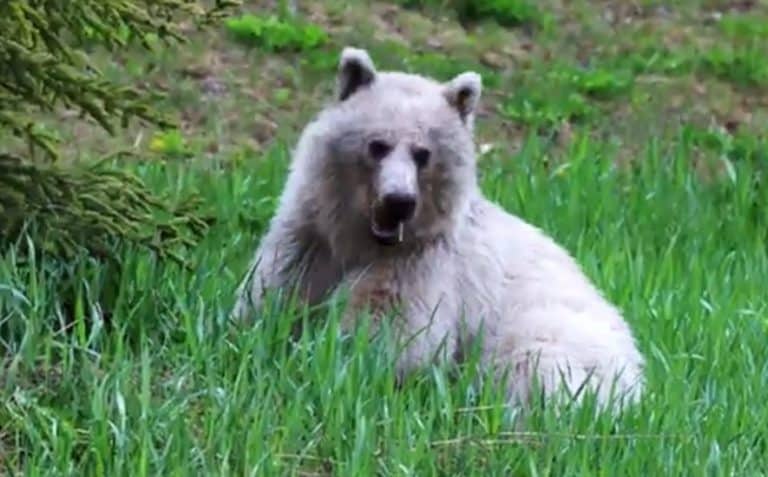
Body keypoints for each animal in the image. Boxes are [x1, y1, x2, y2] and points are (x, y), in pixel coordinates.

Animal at [233, 46, 645, 413]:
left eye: (423, 153)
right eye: (377, 145)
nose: (399, 200)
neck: (360, 239)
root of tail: (638, 385)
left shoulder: (423, 262)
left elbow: (393, 331)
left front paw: (337, 357)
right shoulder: (311, 237)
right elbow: (277, 289)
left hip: (553, 338)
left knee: (536, 371)